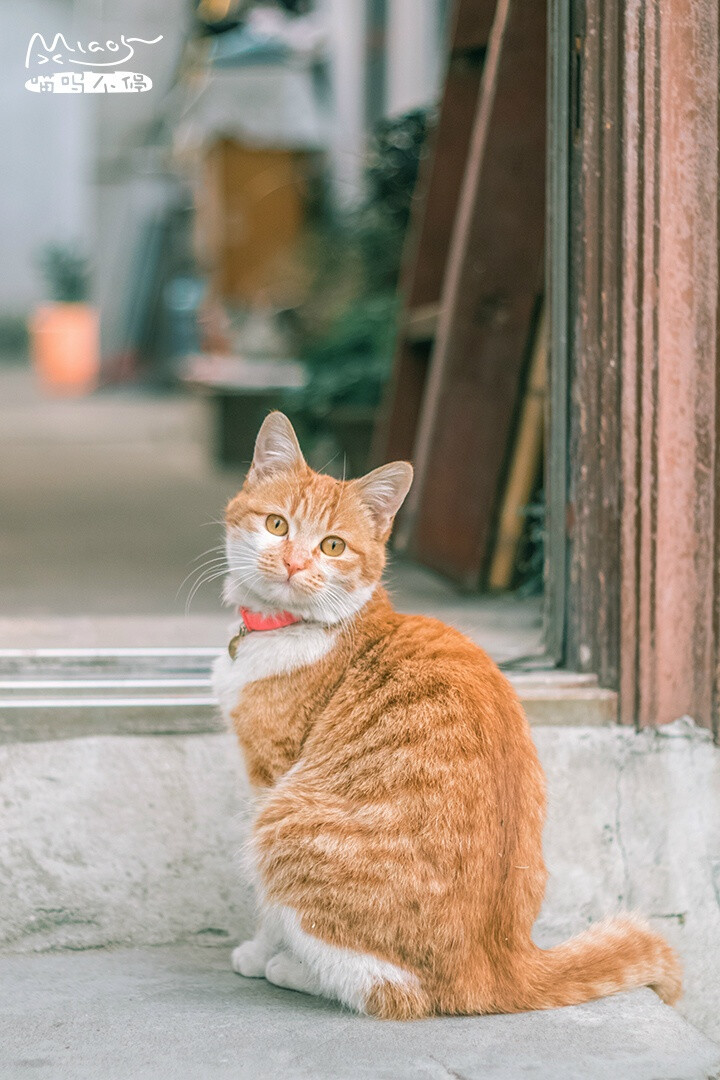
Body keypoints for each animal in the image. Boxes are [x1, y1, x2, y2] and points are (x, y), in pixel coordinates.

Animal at [212, 408, 682, 1015]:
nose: (294, 563)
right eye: (276, 526)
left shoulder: (271, 774)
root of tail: (502, 966)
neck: (297, 627)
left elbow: (267, 910)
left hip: (283, 824)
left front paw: (258, 950)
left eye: (333, 546)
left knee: (391, 991)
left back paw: (292, 968)